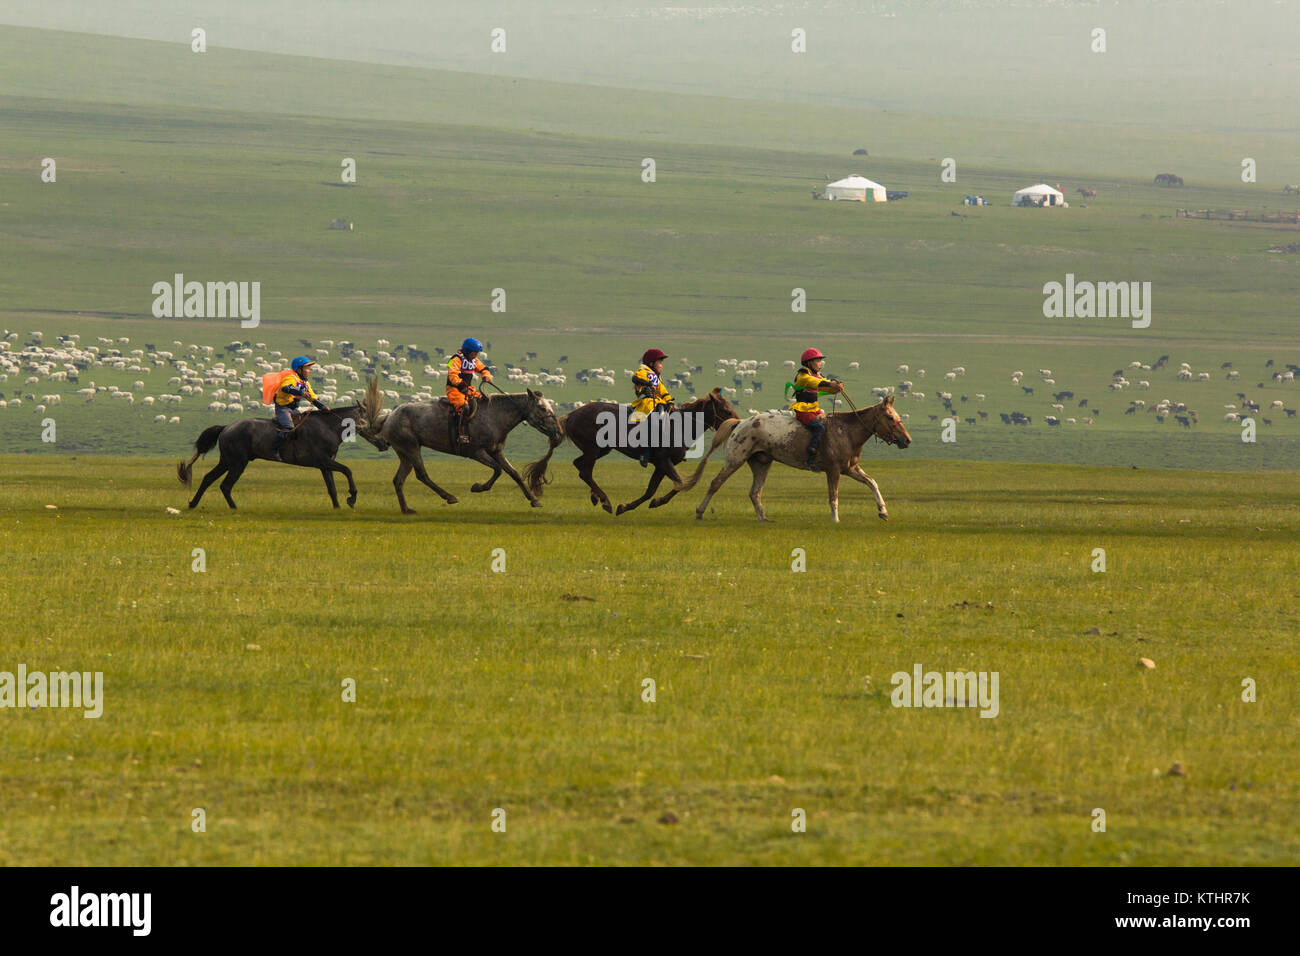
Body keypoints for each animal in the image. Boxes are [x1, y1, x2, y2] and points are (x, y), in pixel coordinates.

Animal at [358, 382, 561, 515]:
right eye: (543, 408)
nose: (558, 432)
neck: (495, 416)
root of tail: (389, 417)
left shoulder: (496, 451)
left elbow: (514, 473)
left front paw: (534, 500)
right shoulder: (476, 452)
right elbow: (497, 470)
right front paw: (478, 487)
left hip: (404, 454)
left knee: (398, 480)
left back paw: (406, 509)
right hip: (412, 448)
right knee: (422, 475)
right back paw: (449, 497)